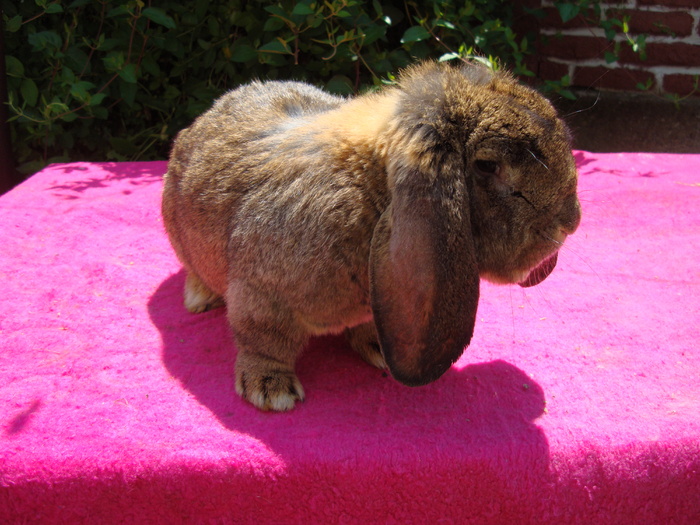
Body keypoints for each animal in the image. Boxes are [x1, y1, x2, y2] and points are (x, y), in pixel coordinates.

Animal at [163, 61, 580, 412]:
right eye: (488, 166)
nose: (571, 222)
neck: (375, 191)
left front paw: (379, 348)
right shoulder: (261, 297)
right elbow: (264, 340)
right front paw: (271, 392)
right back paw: (200, 299)